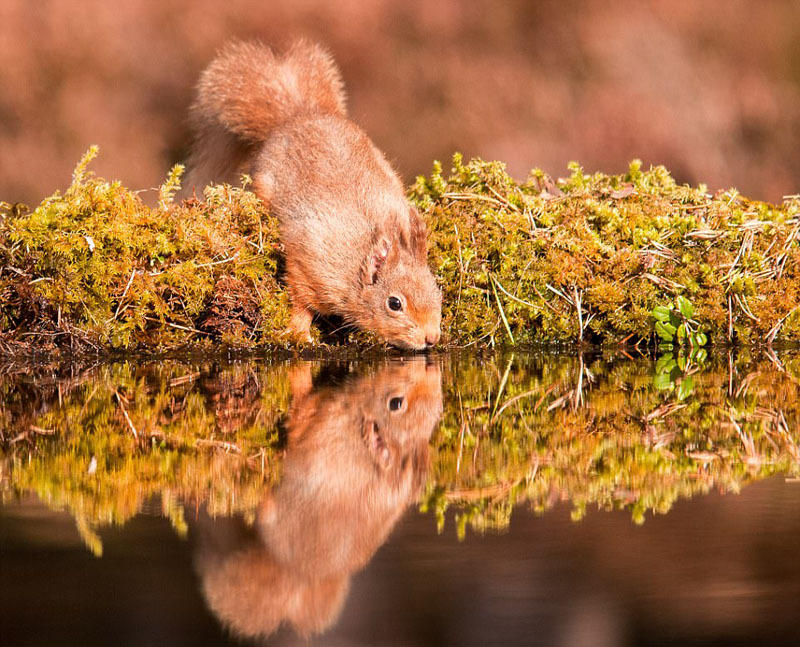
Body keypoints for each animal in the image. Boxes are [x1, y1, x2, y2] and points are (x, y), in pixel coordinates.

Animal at [186, 41, 444, 350]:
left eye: (437, 291)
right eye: (394, 303)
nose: (431, 337)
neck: (354, 263)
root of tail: (296, 115)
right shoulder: (309, 263)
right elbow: (302, 302)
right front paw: (299, 332)